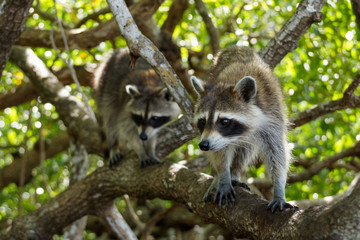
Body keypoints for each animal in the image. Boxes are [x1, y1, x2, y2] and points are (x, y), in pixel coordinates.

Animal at [191, 45, 296, 212]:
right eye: (202, 121)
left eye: (224, 121)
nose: (204, 145)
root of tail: (237, 46)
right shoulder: (218, 139)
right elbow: (220, 152)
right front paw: (223, 177)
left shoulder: (273, 116)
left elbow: (277, 152)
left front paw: (279, 190)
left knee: (245, 150)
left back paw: (235, 171)